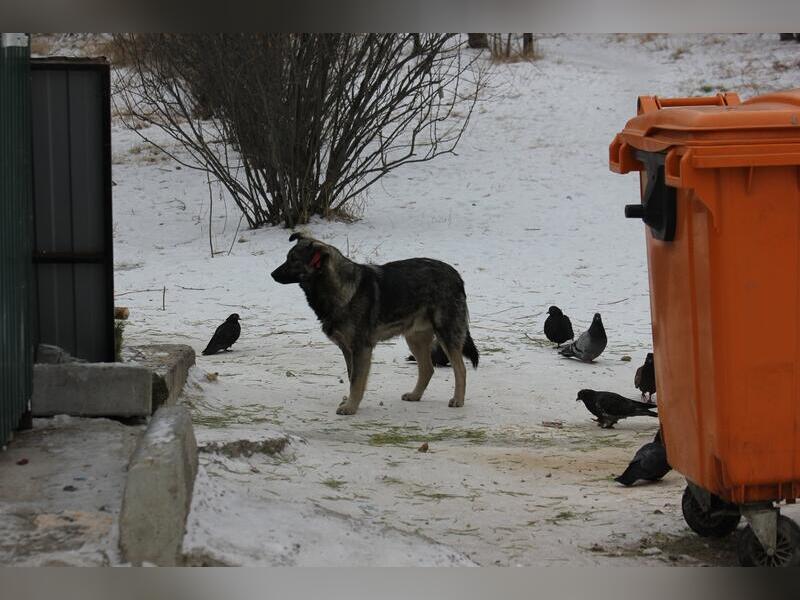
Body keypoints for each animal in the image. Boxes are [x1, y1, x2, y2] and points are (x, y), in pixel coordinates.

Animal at [272, 232, 478, 414]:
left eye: (293, 260)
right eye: (287, 258)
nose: (272, 274)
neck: (341, 288)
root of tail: (456, 275)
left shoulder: (361, 349)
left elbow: (356, 381)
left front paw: (350, 408)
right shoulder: (348, 350)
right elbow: (352, 378)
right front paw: (351, 403)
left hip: (446, 334)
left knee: (460, 369)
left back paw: (458, 400)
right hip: (415, 339)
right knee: (427, 369)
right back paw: (415, 395)